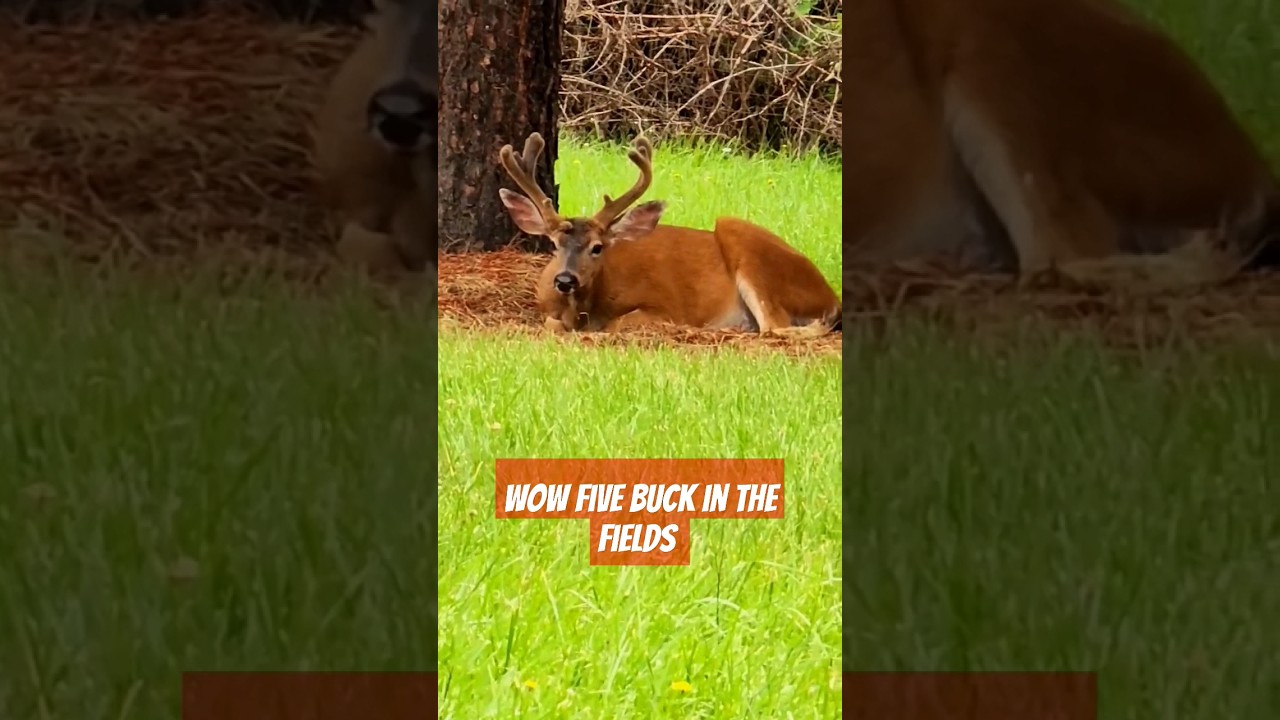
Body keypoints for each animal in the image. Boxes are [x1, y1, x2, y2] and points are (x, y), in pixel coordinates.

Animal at [496, 132, 841, 336]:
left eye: (597, 247)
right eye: (555, 244)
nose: (565, 279)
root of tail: (830, 293)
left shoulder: (666, 306)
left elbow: (617, 323)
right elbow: (551, 323)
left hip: (739, 235)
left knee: (775, 326)